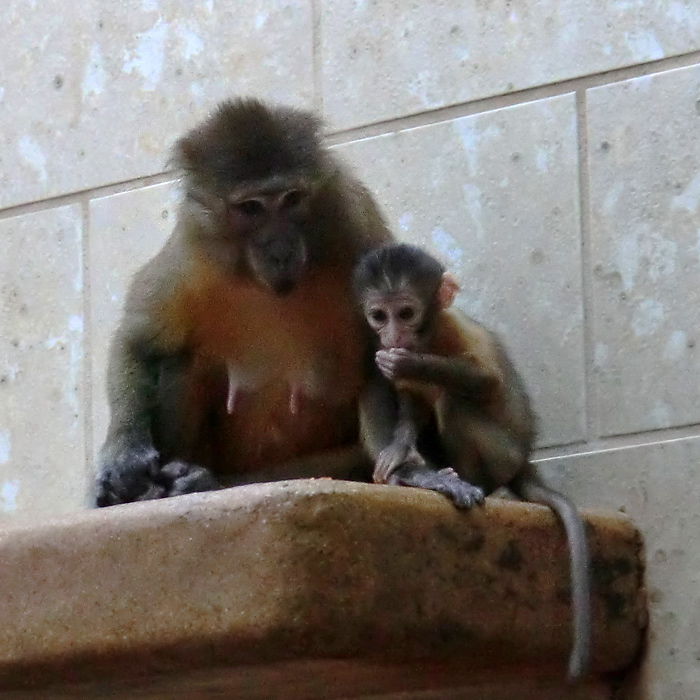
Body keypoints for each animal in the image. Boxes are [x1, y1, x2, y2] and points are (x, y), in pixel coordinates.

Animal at [94, 98, 394, 504]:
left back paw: (200, 482)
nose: (281, 250)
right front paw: (124, 452)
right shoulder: (192, 250)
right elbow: (139, 344)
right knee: (179, 360)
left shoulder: (352, 217)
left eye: (292, 199)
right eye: (251, 208)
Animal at [356, 243, 592, 680]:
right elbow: (411, 405)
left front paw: (410, 363)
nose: (391, 334)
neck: (429, 336)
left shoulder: (454, 331)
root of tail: (525, 459)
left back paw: (464, 481)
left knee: (456, 401)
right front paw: (399, 448)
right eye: (379, 315)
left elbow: (486, 381)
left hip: (503, 452)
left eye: (406, 313)